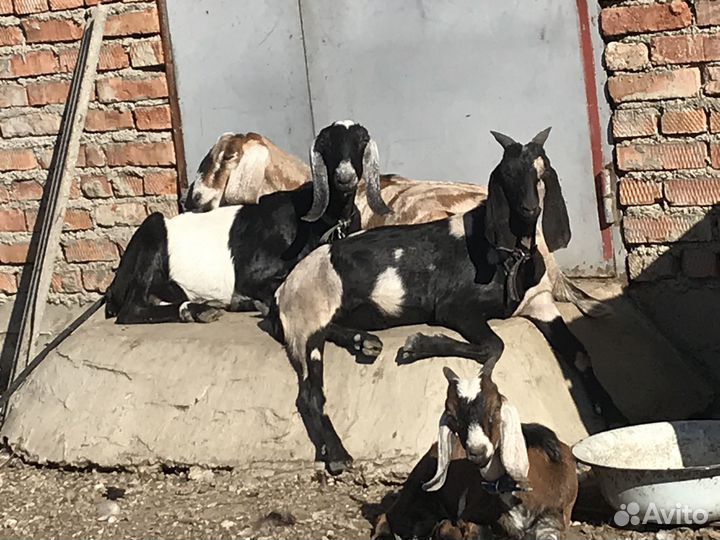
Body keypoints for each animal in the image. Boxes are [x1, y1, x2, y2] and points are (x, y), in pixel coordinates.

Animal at [104, 120, 390, 324]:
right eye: (328, 145)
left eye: (361, 141)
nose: (345, 177)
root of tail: (115, 286)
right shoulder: (253, 276)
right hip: (152, 231)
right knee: (132, 309)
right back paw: (197, 310)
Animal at [271, 127, 624, 474]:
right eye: (507, 174)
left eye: (542, 172)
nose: (530, 210)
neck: (504, 255)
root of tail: (286, 286)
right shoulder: (455, 308)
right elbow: (494, 347)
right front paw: (418, 345)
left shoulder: (541, 305)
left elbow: (580, 356)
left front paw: (613, 413)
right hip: (307, 326)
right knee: (309, 396)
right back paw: (337, 454)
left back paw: (364, 342)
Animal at [372, 366, 578, 540]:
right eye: (452, 415)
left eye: (495, 408)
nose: (477, 451)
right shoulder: (471, 515)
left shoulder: (553, 520)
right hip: (416, 482)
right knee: (387, 515)